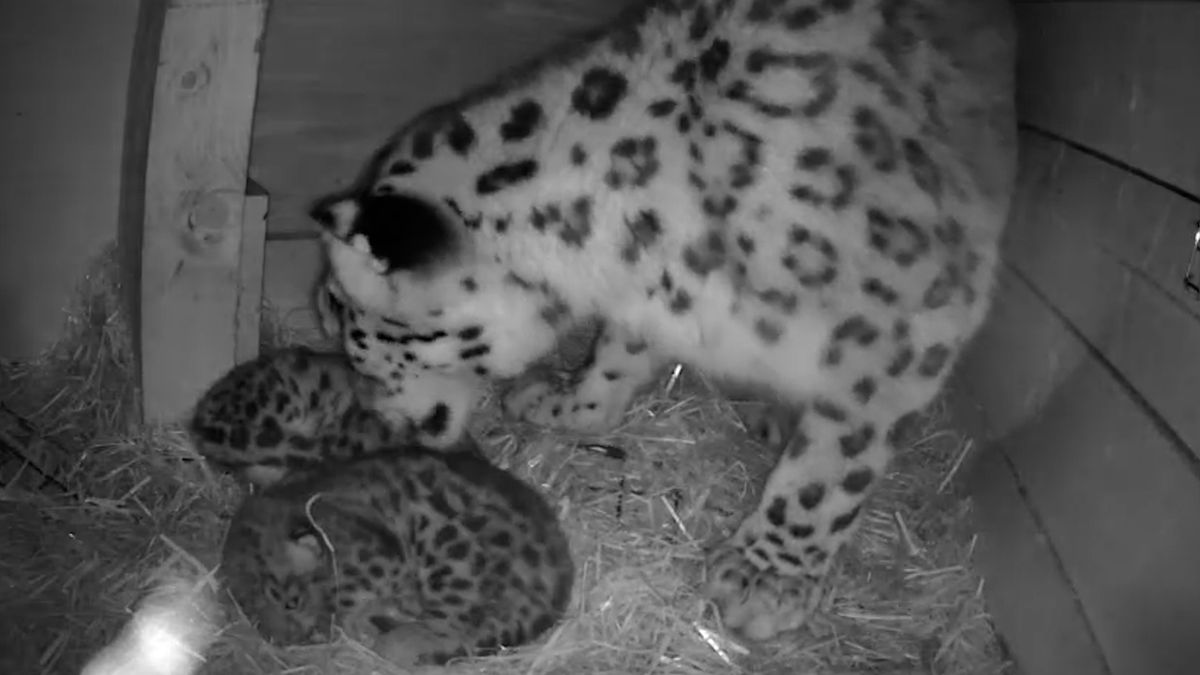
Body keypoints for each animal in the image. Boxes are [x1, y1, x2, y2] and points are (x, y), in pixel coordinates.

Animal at [218, 444, 574, 667]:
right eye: (255, 618)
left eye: (291, 602)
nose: (287, 641)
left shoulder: (381, 560)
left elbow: (345, 607)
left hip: (450, 545)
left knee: (455, 627)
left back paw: (395, 644)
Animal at [306, 0, 1017, 642]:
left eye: (351, 328)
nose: (372, 414)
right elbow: (617, 357)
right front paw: (566, 404)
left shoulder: (909, 317)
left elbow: (835, 459)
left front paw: (767, 579)